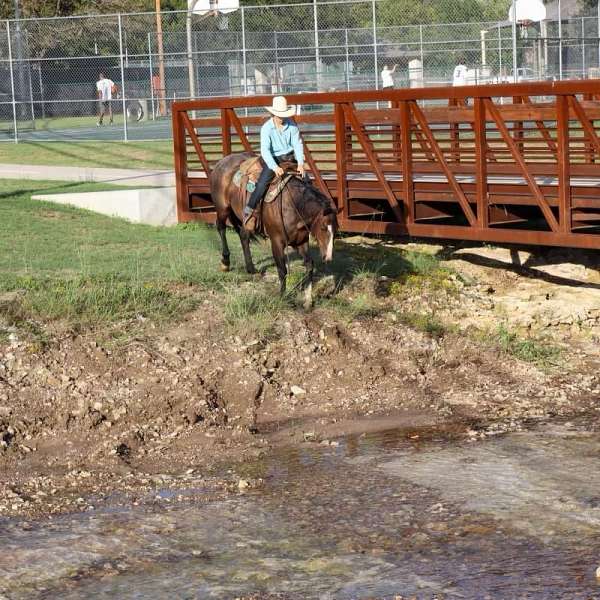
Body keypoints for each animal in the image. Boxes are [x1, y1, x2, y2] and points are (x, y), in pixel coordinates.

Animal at [210, 152, 338, 308]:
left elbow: (309, 265)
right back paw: (225, 262)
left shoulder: (301, 241)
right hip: (222, 209)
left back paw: (251, 269)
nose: (328, 257)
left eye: (336, 230)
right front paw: (282, 296)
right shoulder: (276, 241)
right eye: (323, 227)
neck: (292, 204)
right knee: (221, 227)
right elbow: (282, 269)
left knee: (243, 235)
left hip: (244, 220)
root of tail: (222, 162)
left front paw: (308, 299)